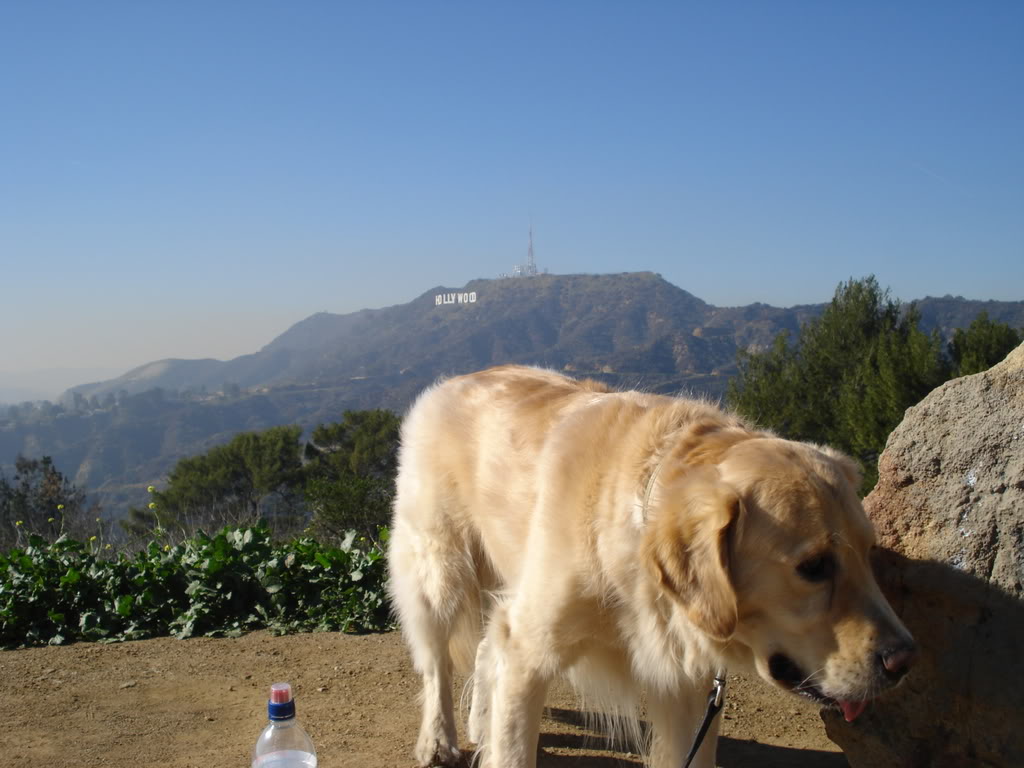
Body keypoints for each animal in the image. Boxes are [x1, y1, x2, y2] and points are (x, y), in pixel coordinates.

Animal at [387, 366, 917, 768]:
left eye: (868, 553)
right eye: (813, 566)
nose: (904, 661)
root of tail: (453, 381)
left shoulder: (686, 686)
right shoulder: (528, 650)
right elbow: (513, 745)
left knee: (481, 648)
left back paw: (481, 722)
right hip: (439, 570)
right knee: (436, 664)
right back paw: (439, 740)